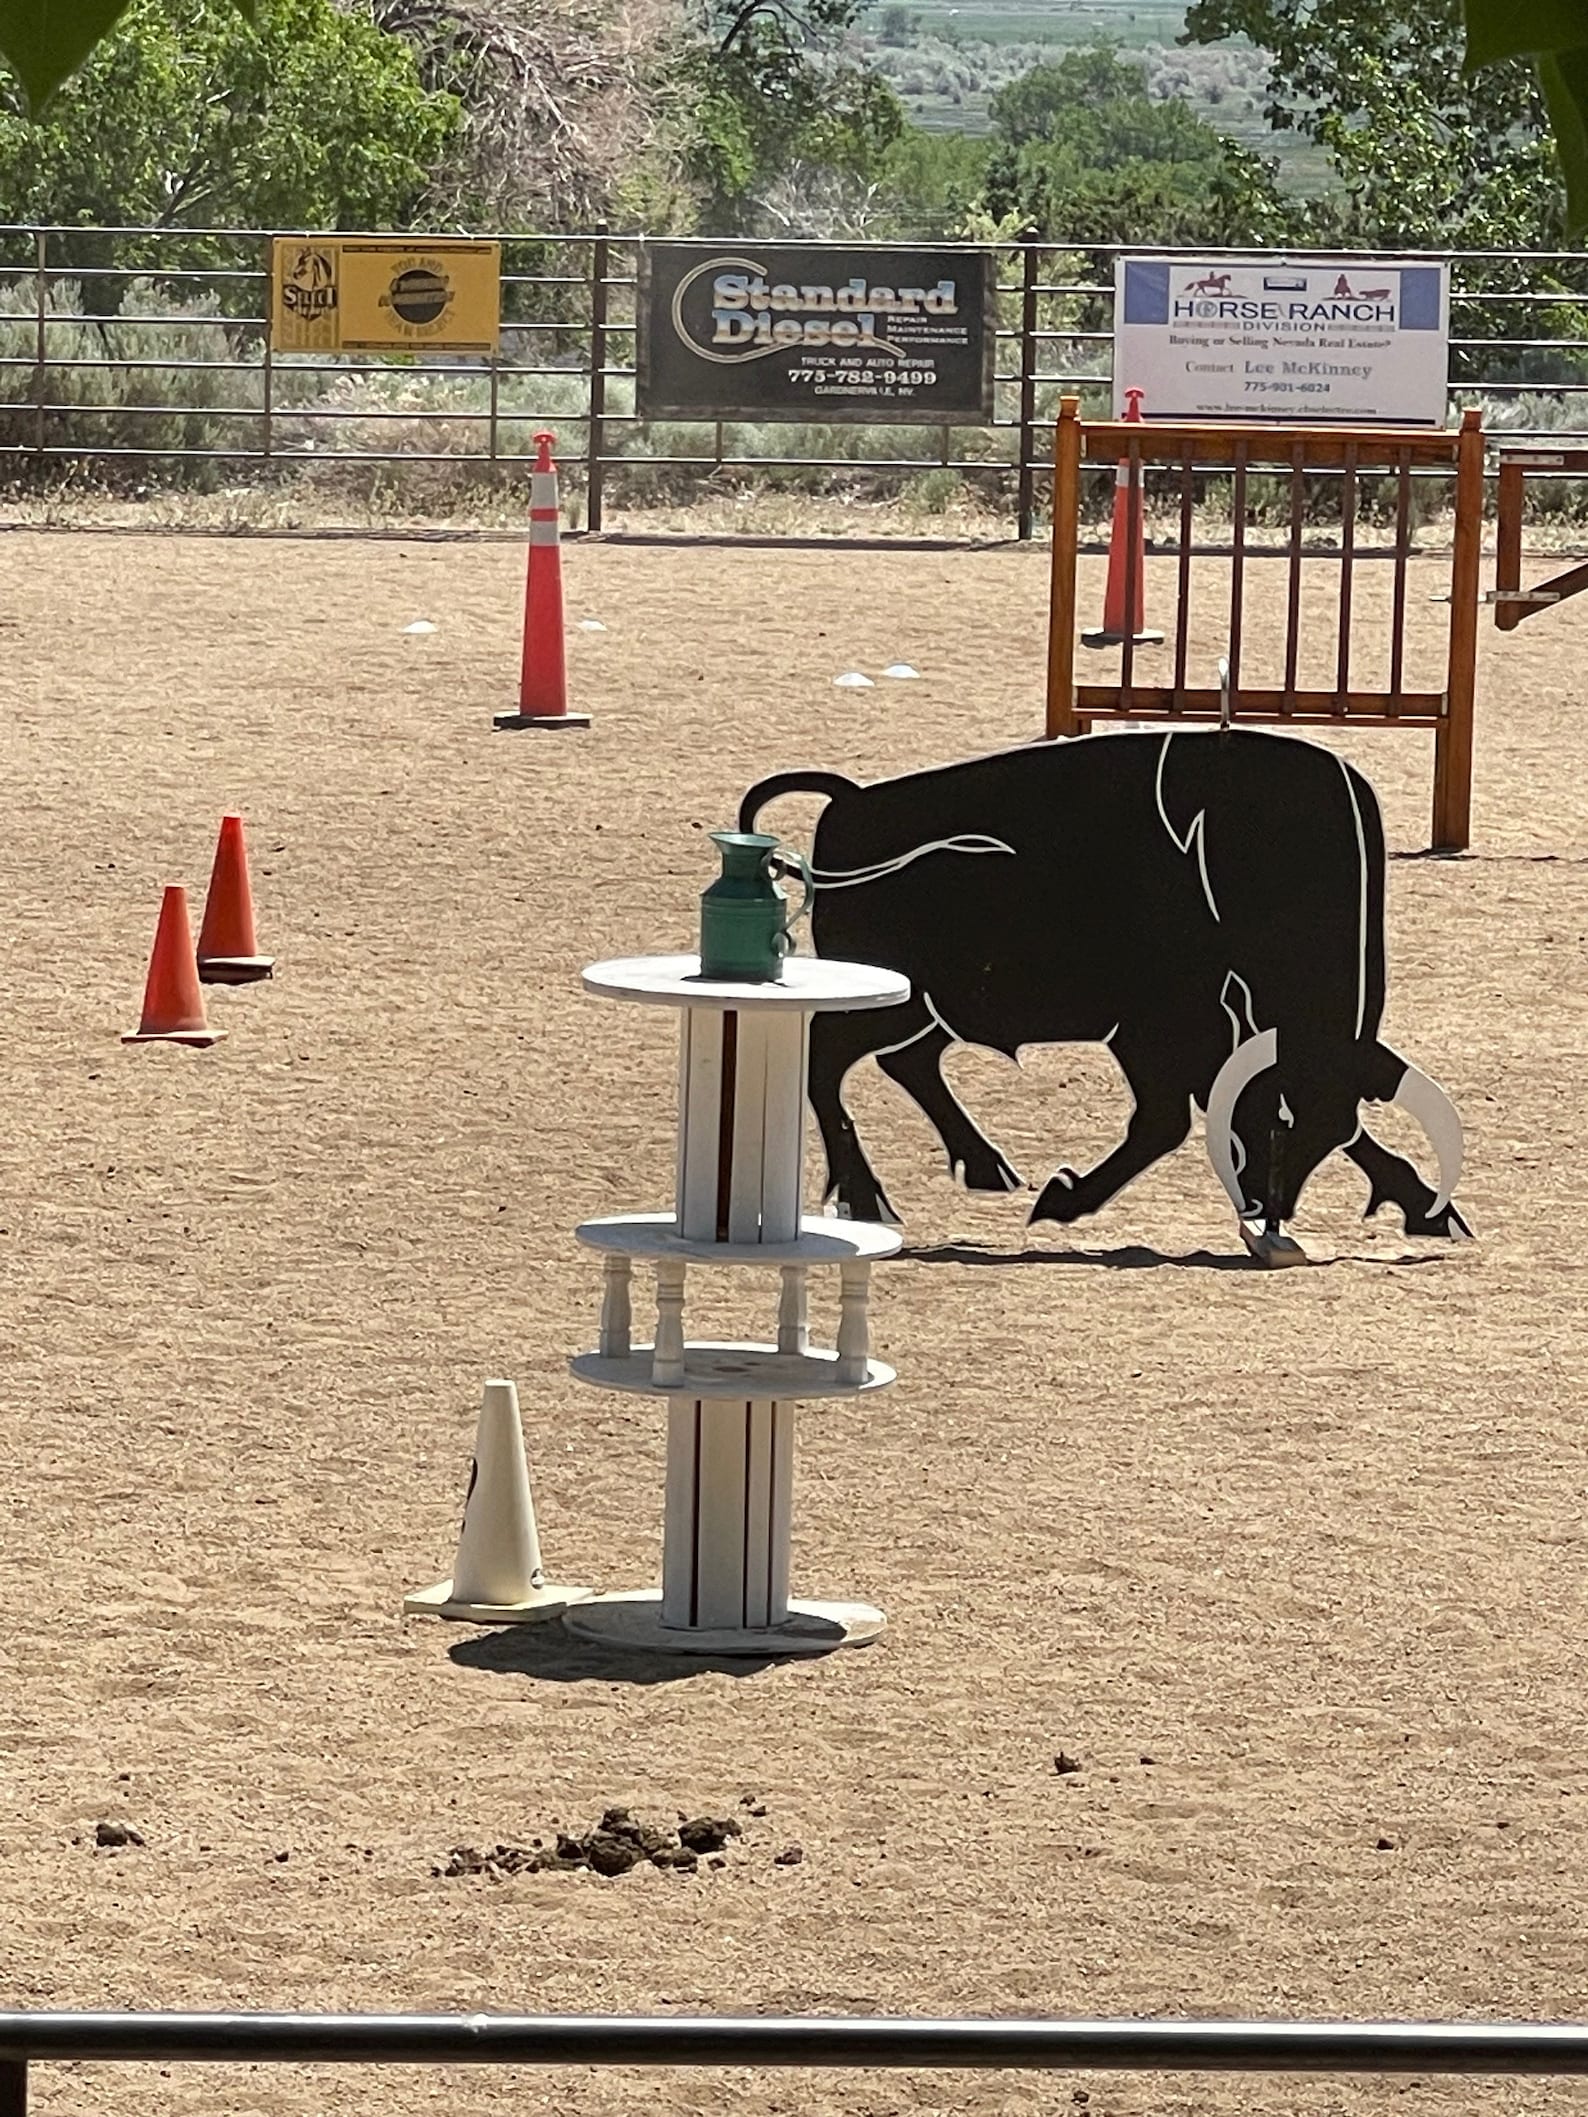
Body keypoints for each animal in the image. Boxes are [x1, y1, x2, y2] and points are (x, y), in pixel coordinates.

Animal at [738, 728, 1469, 1251]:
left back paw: (987, 1169)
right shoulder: (1164, 1031)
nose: (1269, 1213)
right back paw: (870, 1197)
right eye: (1289, 1121)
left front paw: (1434, 1212)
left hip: (928, 1013)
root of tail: (850, 802)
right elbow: (1169, 1118)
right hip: (898, 1002)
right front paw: (1061, 1198)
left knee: (902, 1062)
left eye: (1318, 1126)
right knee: (830, 1061)